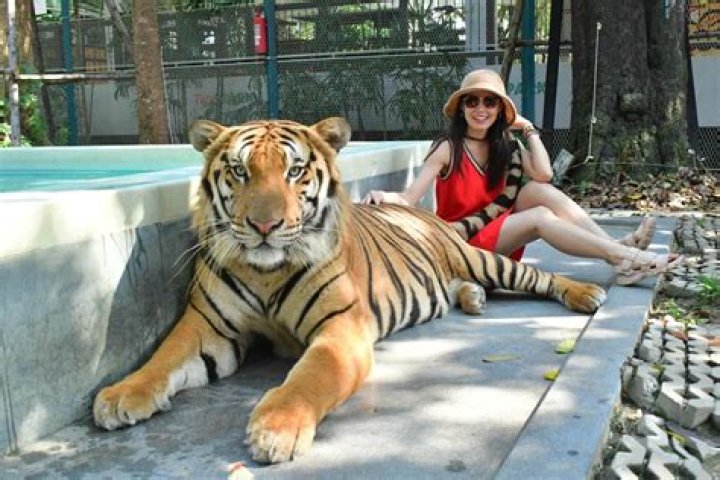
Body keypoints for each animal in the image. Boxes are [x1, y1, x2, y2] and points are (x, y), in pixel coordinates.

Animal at [93, 117, 606, 464]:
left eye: (295, 172)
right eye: (239, 172)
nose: (264, 226)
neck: (265, 271)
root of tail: (427, 214)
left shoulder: (341, 328)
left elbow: (311, 375)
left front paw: (276, 428)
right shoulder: (206, 326)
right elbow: (163, 357)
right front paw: (120, 395)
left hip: (481, 257)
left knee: (536, 277)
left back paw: (586, 293)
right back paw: (473, 299)